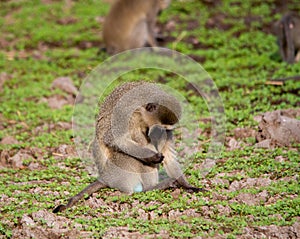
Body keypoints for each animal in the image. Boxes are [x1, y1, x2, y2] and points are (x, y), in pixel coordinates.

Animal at [53, 81, 204, 213]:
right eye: (159, 127)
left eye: (167, 130)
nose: (161, 134)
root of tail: (105, 177)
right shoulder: (124, 113)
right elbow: (115, 139)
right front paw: (152, 156)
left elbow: (169, 154)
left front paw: (187, 185)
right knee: (134, 155)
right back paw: (151, 187)